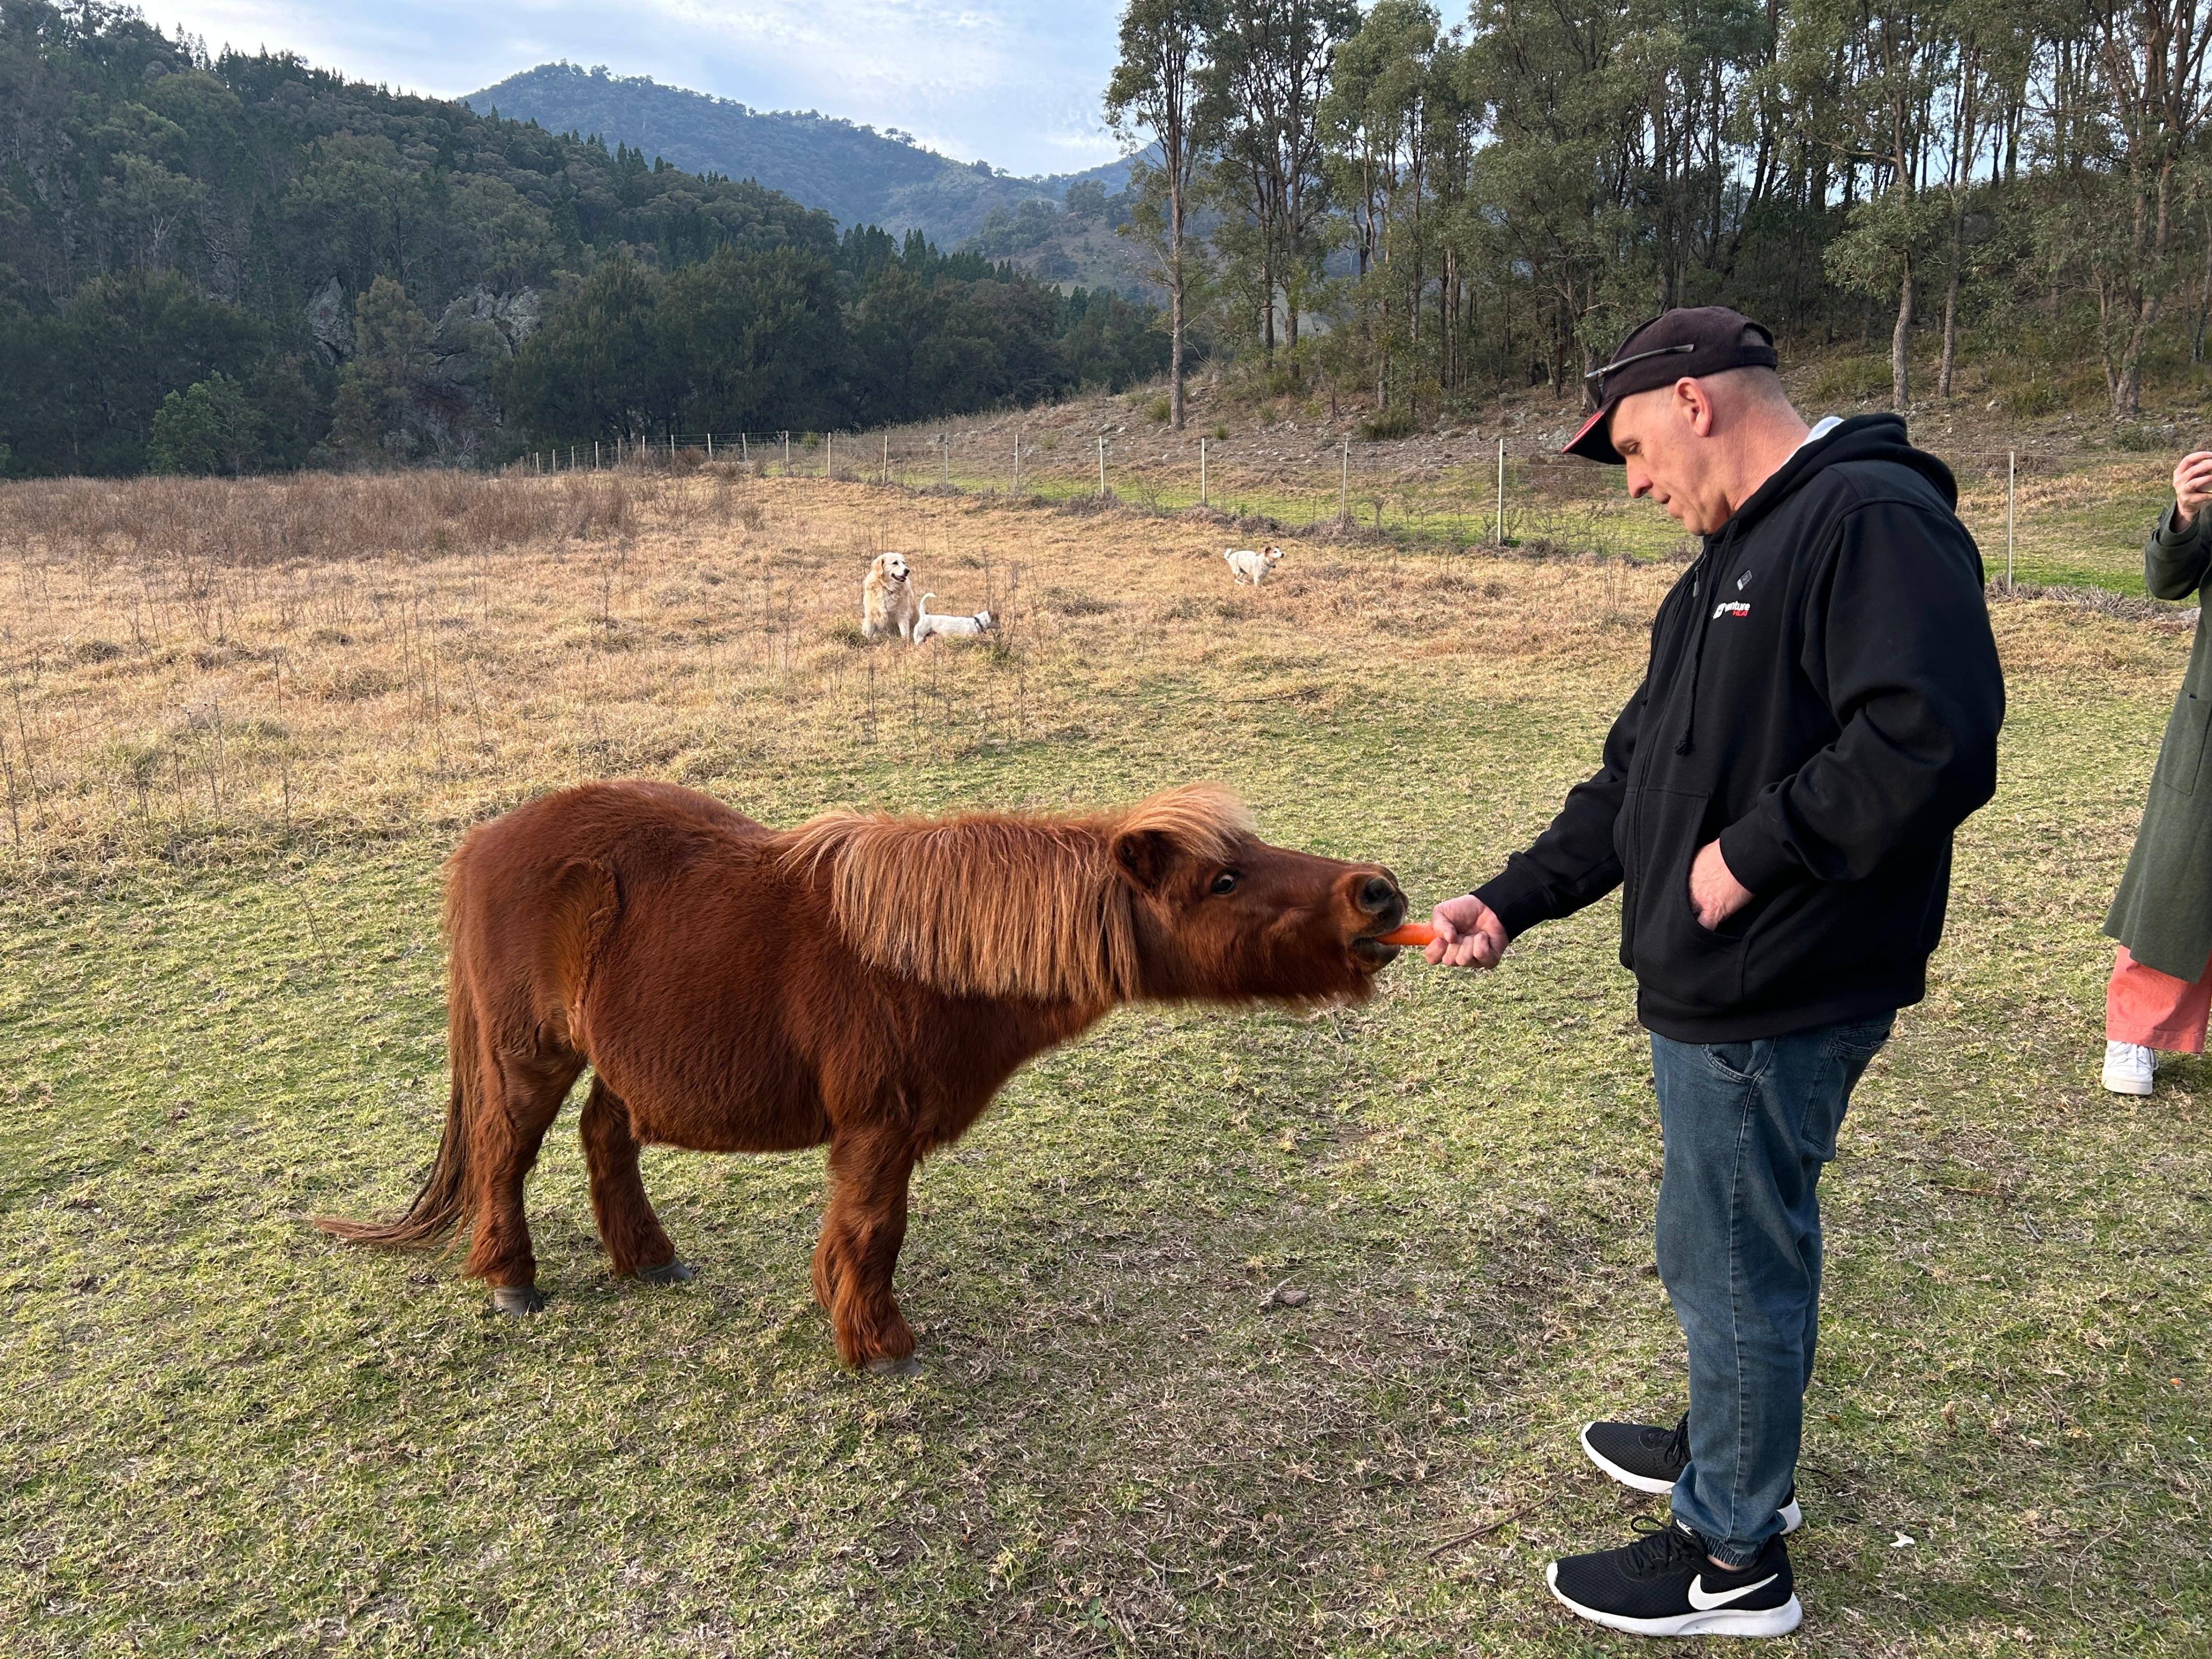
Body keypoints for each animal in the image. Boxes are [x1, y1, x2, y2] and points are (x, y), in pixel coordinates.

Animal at [316, 780, 1409, 1371]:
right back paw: (511, 1279)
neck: (924, 957)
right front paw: (877, 1339)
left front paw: (836, 1304)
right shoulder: (879, 1129)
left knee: (603, 1139)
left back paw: (649, 1257)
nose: (1379, 893)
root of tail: (484, 841)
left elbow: (853, 1228)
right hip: (529, 1052)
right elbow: (877, 1231)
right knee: (505, 1152)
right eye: (1222, 878)